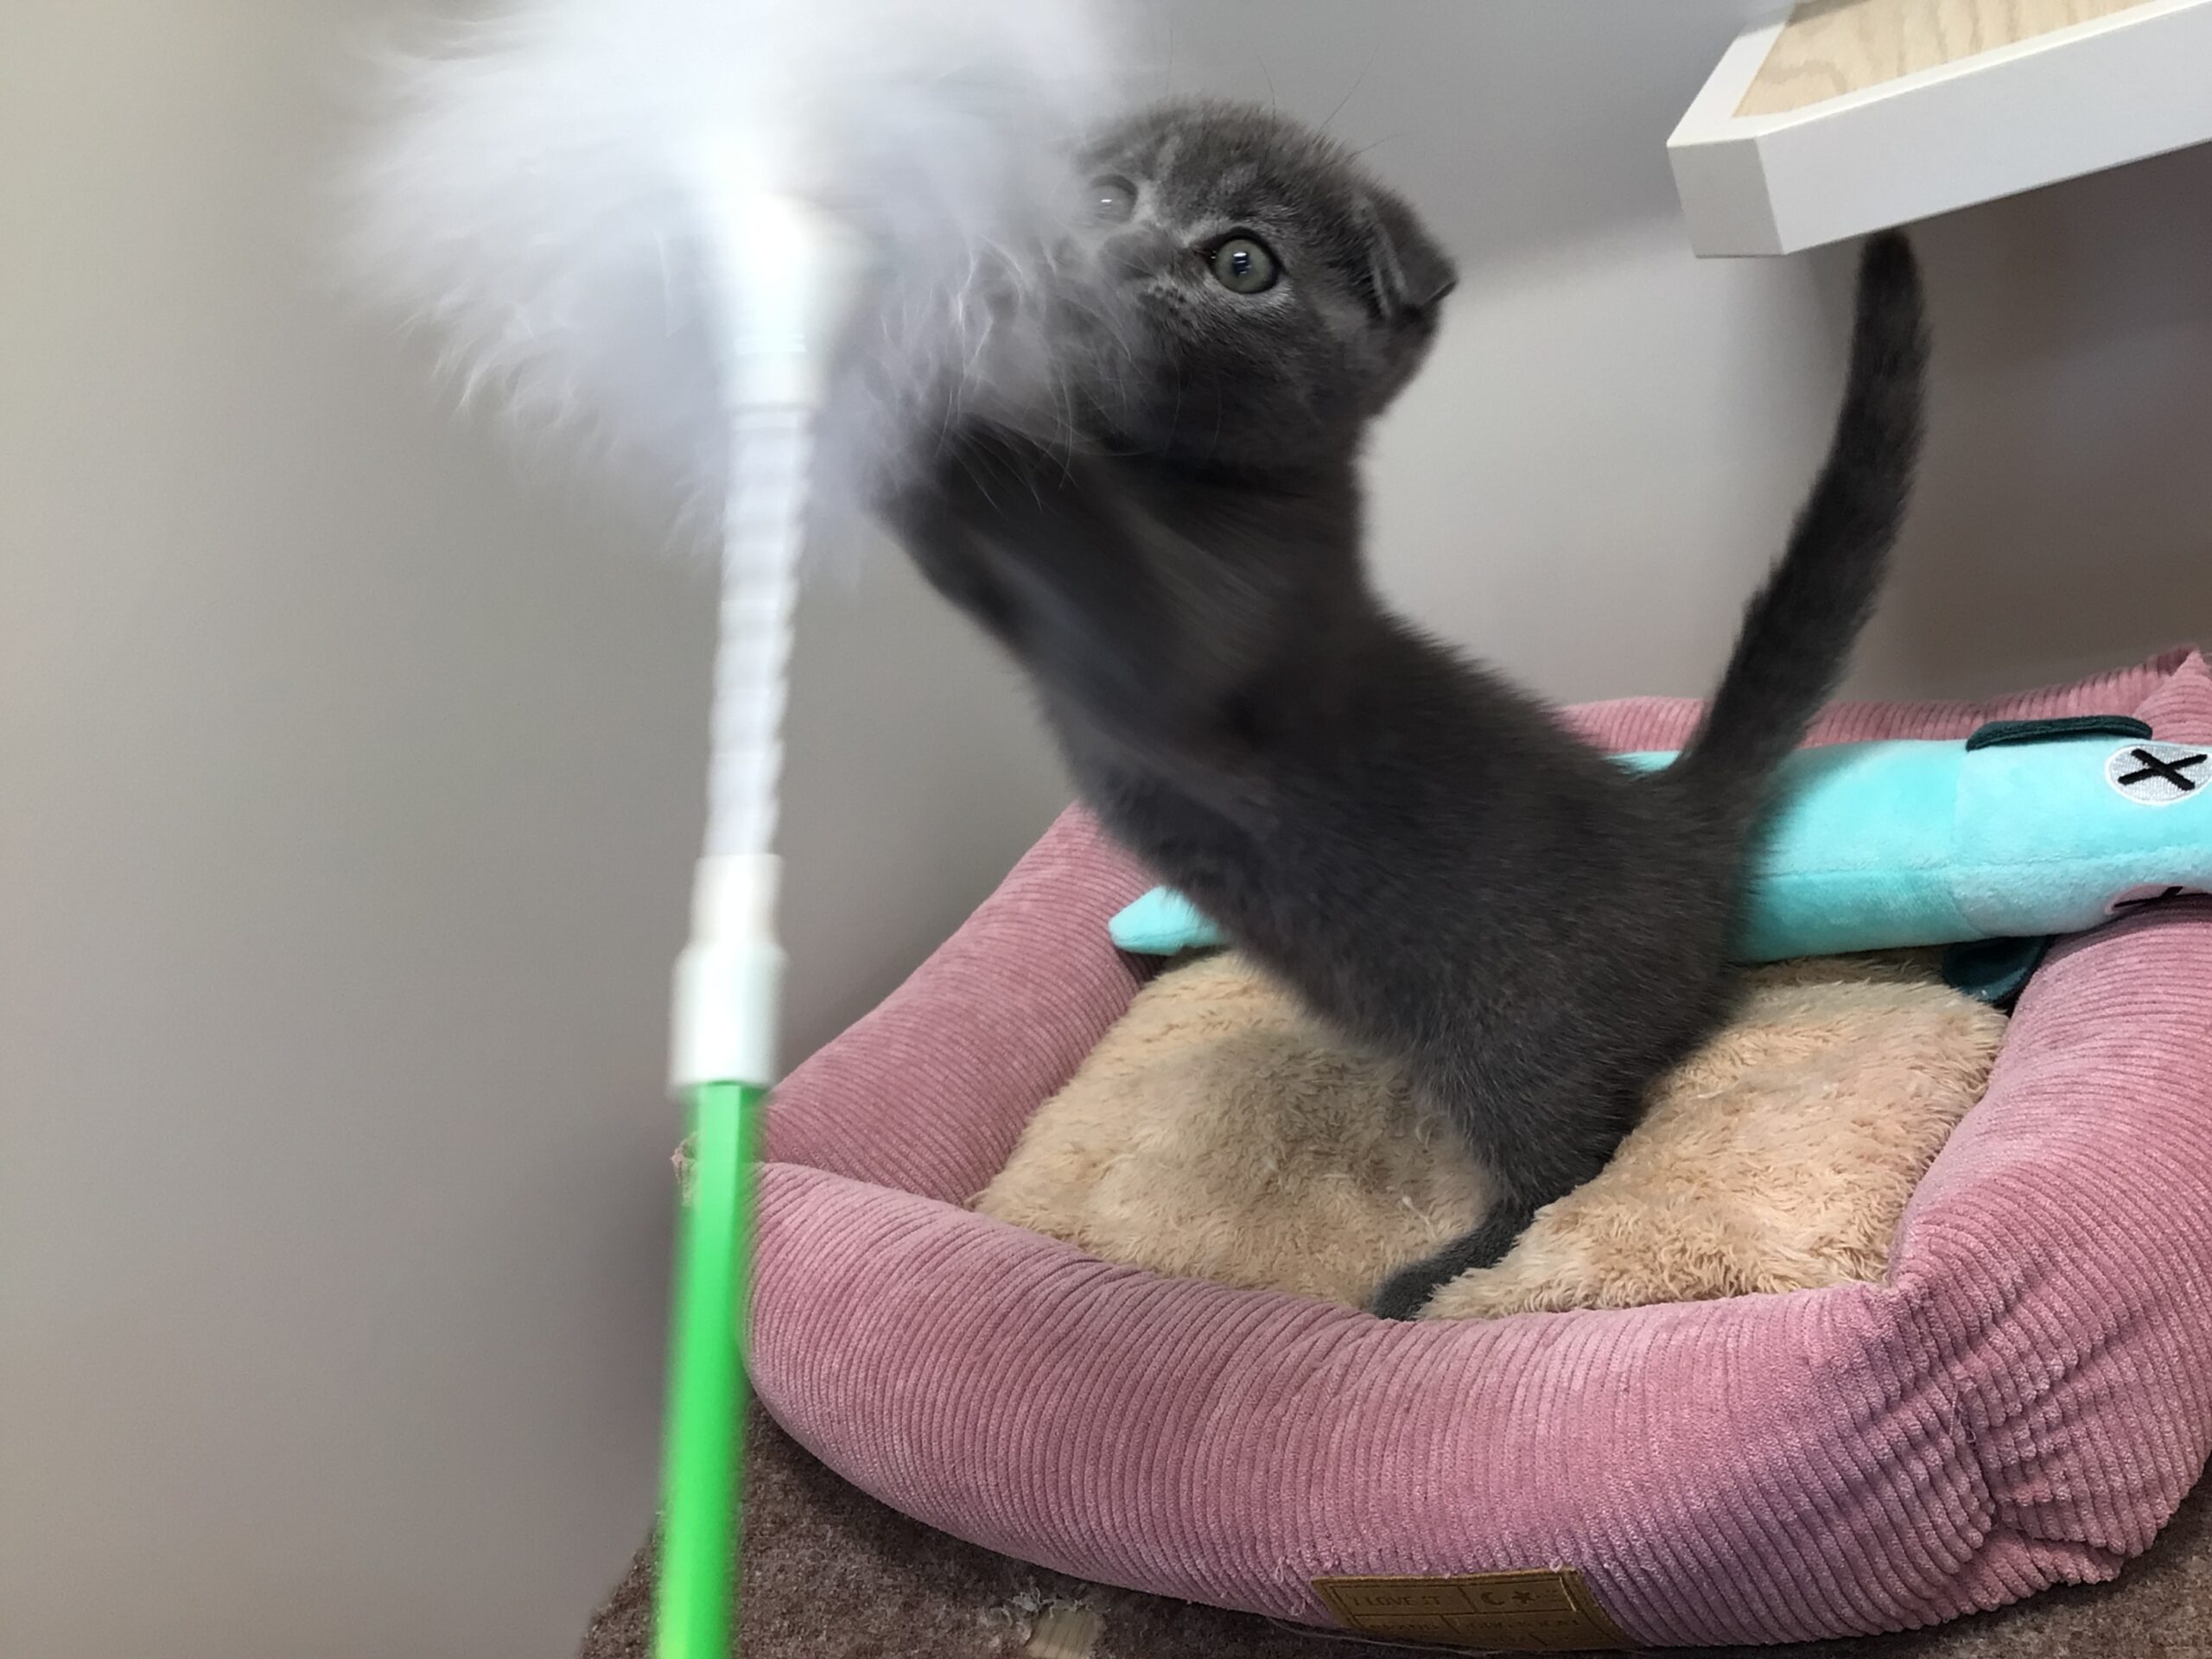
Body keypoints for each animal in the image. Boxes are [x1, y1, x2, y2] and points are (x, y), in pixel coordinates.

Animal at [879, 97, 1928, 1319]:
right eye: (1106, 196)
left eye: (1242, 261)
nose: (1106, 256)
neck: (1177, 477)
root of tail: (1670, 813)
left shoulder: (1199, 637)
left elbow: (1061, 546)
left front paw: (922, 375)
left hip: (1519, 1033)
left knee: (1576, 1159)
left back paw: (1437, 1274)